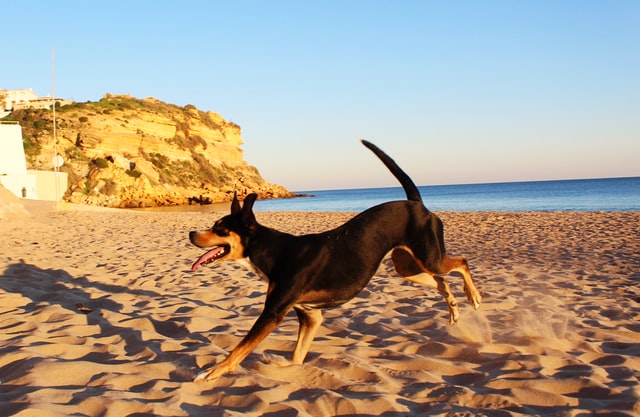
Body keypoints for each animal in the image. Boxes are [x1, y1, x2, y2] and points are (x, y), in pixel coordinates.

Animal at [189, 141, 480, 382]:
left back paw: (473, 297)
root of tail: (416, 204)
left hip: (429, 257)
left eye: (220, 228)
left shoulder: (273, 314)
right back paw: (454, 309)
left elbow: (239, 349)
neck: (274, 251)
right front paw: (286, 367)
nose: (191, 233)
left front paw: (213, 372)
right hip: (407, 267)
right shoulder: (311, 316)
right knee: (442, 282)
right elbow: (297, 356)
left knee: (461, 263)